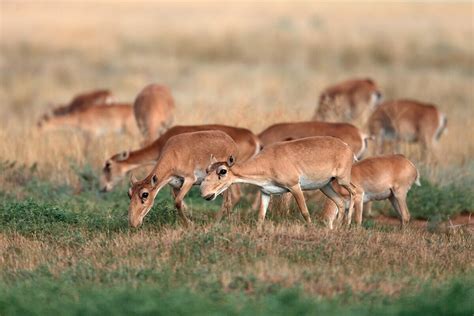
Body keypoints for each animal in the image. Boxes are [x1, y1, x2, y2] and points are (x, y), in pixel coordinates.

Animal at [200, 137, 356, 226]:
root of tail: (347, 147)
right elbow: (261, 216)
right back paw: (336, 227)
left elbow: (305, 212)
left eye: (222, 171)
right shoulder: (266, 192)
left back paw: (347, 224)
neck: (268, 162)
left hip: (342, 180)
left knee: (354, 191)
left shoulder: (294, 187)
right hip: (326, 186)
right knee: (340, 202)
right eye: (207, 169)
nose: (205, 194)